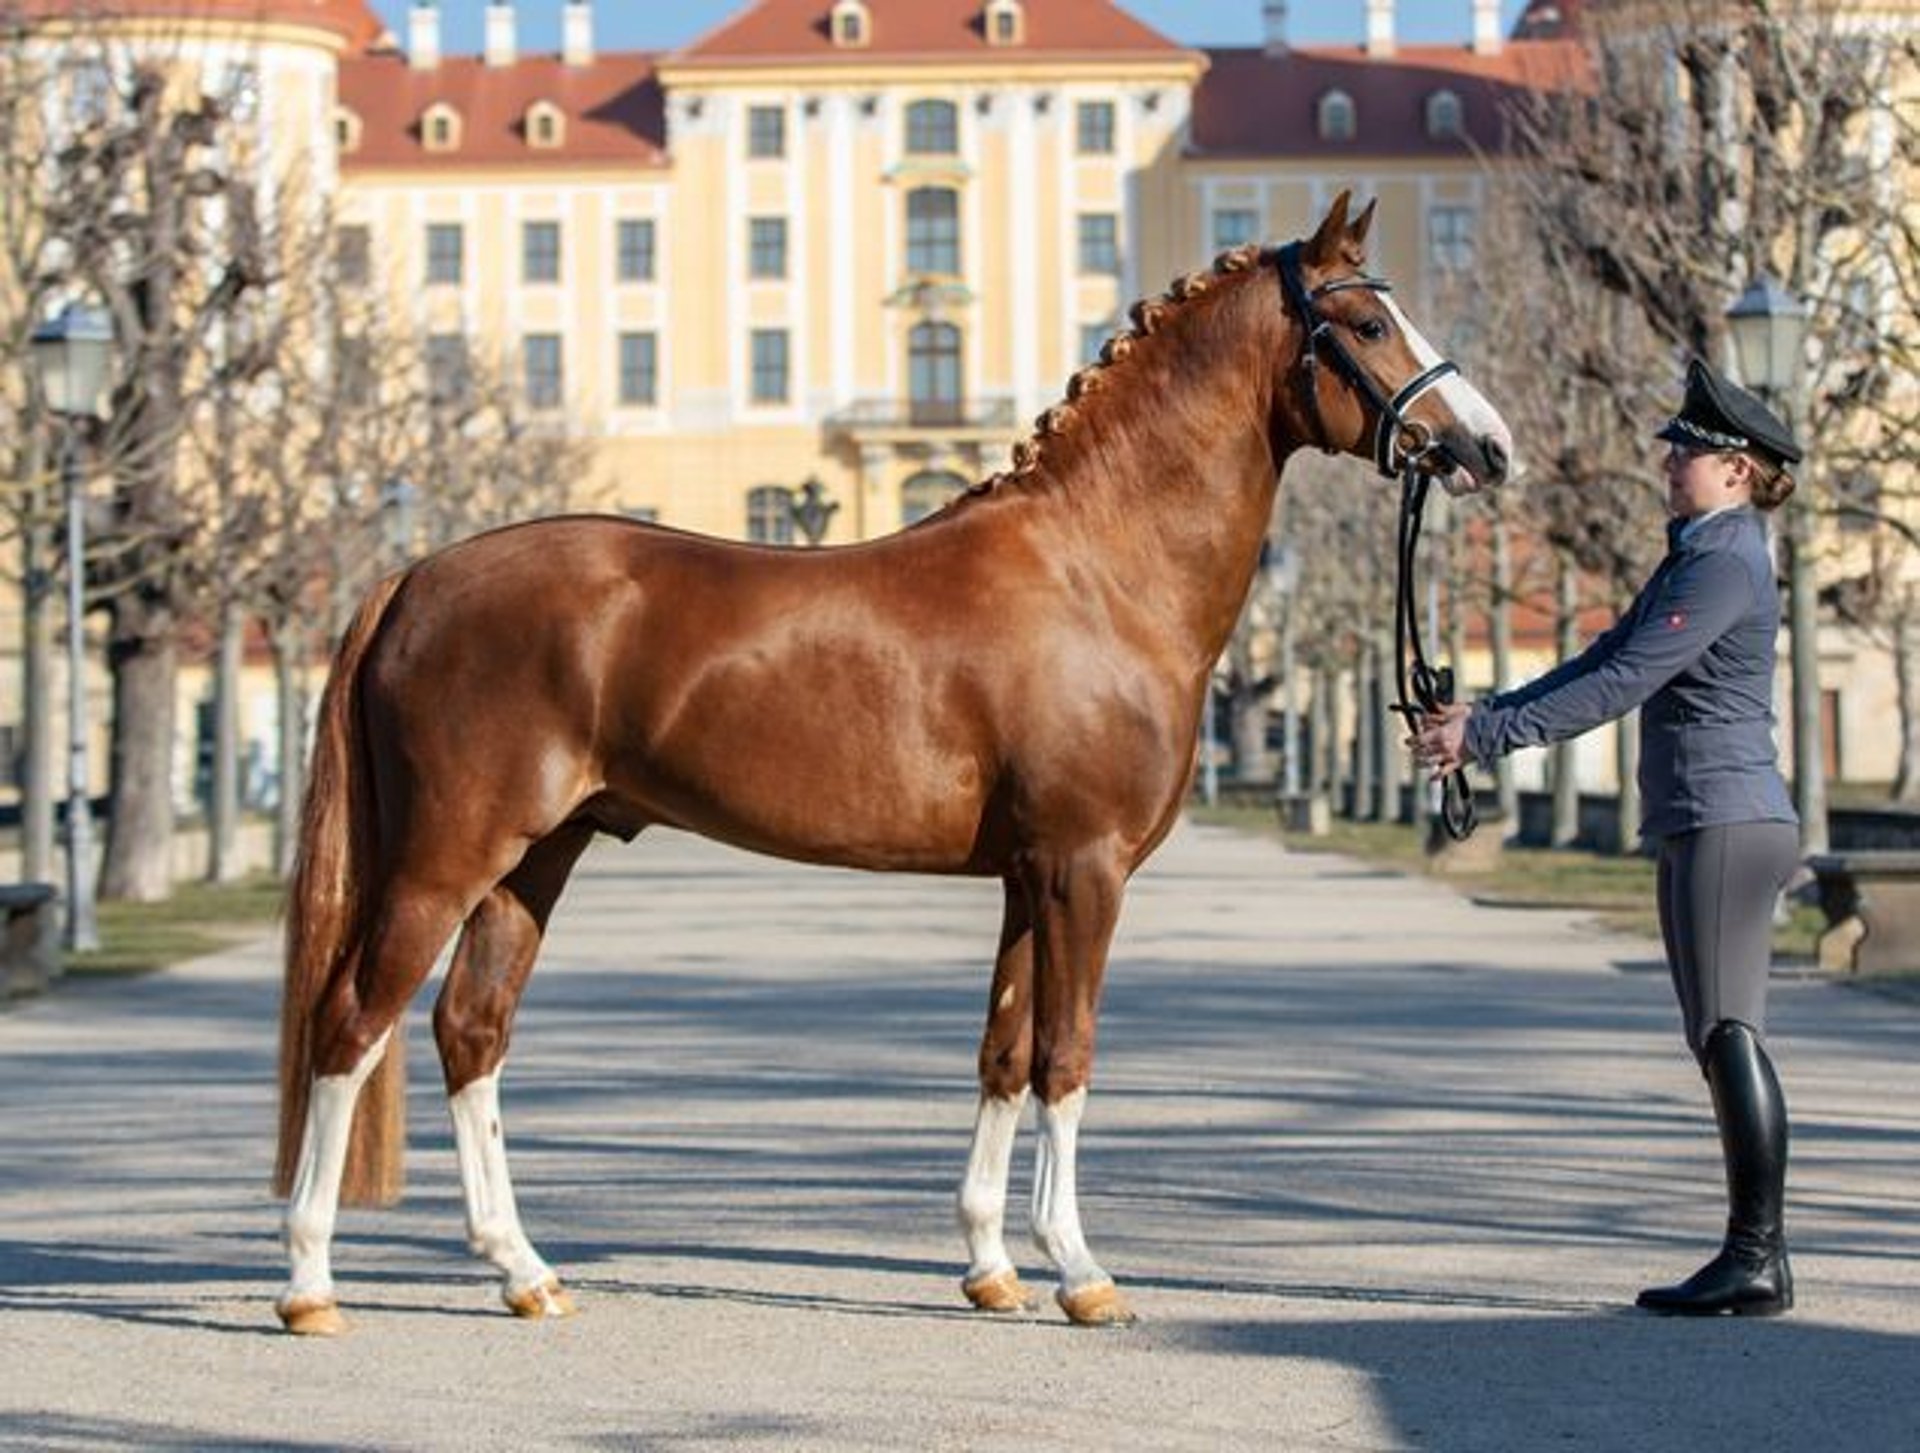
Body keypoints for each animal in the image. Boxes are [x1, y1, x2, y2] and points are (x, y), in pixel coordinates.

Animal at [270, 195, 1512, 1335]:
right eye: (1366, 320)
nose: (1489, 447)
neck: (1099, 572)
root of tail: (413, 576)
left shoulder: (1026, 878)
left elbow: (1003, 1052)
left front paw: (992, 1266)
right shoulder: (1084, 870)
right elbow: (1066, 1055)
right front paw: (1082, 1271)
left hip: (535, 859)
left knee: (469, 1030)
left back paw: (524, 1272)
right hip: (445, 860)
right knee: (352, 1022)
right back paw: (310, 1283)